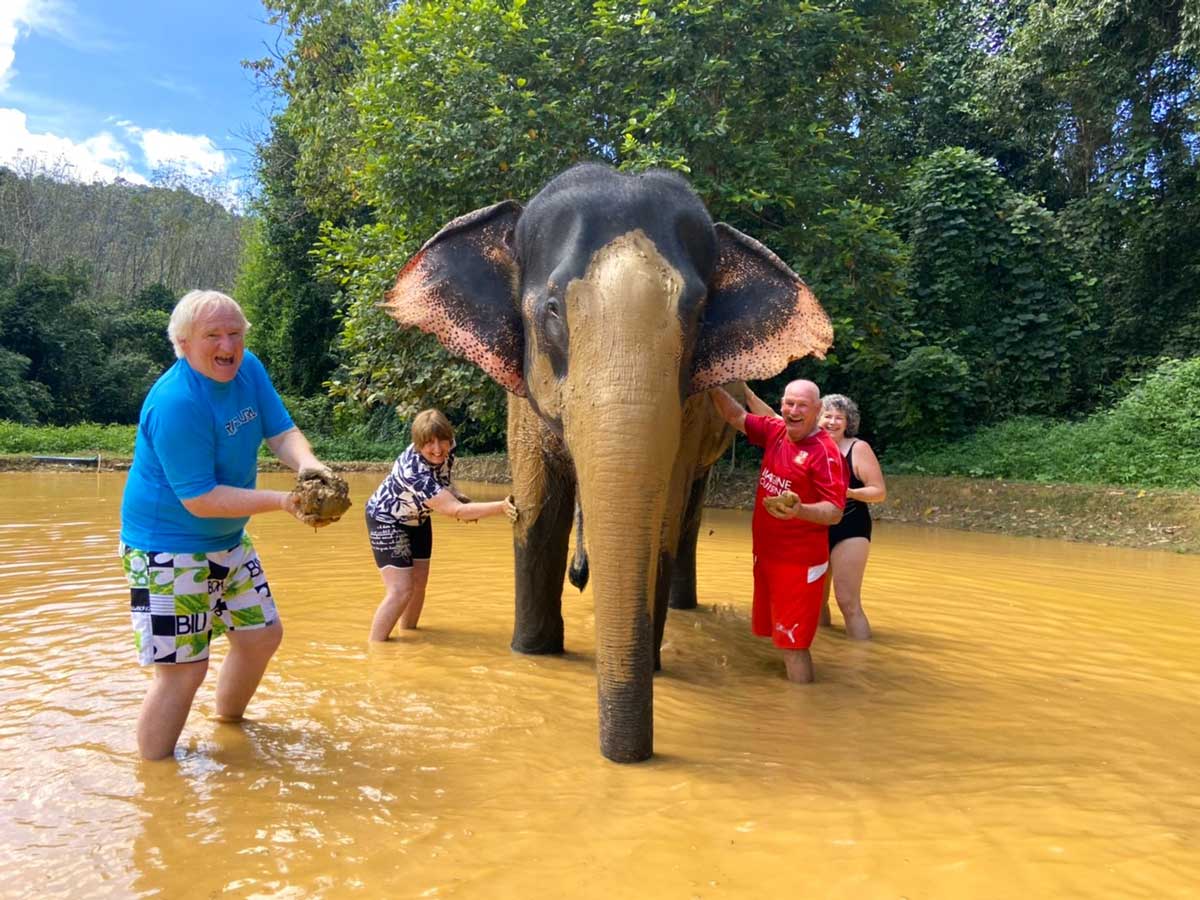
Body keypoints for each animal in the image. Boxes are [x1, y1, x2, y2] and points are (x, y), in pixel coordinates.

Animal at [386, 165, 835, 763]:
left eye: (697, 313)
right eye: (552, 311)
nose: (631, 757)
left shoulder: (688, 415)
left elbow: (659, 522)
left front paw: (652, 666)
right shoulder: (521, 401)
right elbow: (540, 516)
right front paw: (532, 653)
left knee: (687, 516)